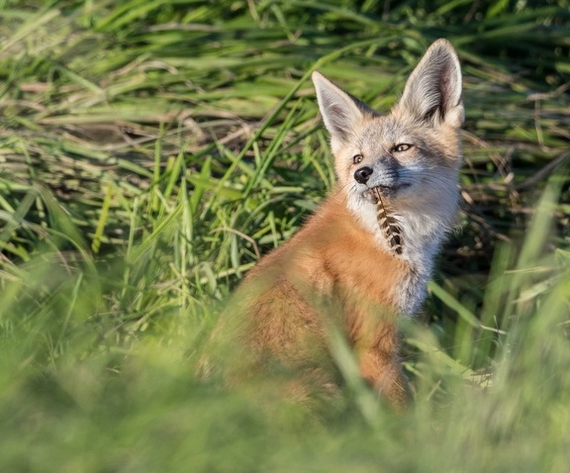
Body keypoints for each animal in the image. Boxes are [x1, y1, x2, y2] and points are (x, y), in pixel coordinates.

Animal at [209, 38, 462, 408]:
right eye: (357, 158)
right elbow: (403, 411)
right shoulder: (375, 347)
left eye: (401, 148)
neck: (381, 236)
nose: (362, 174)